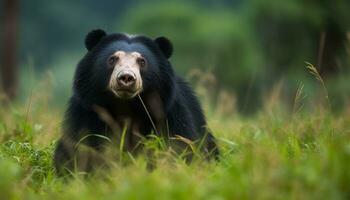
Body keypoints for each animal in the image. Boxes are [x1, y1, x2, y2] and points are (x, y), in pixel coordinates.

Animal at [54, 29, 219, 173]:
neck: (126, 106)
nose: (126, 78)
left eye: (142, 61)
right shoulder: (86, 112)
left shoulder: (169, 114)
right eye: (112, 59)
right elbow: (80, 146)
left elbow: (179, 145)